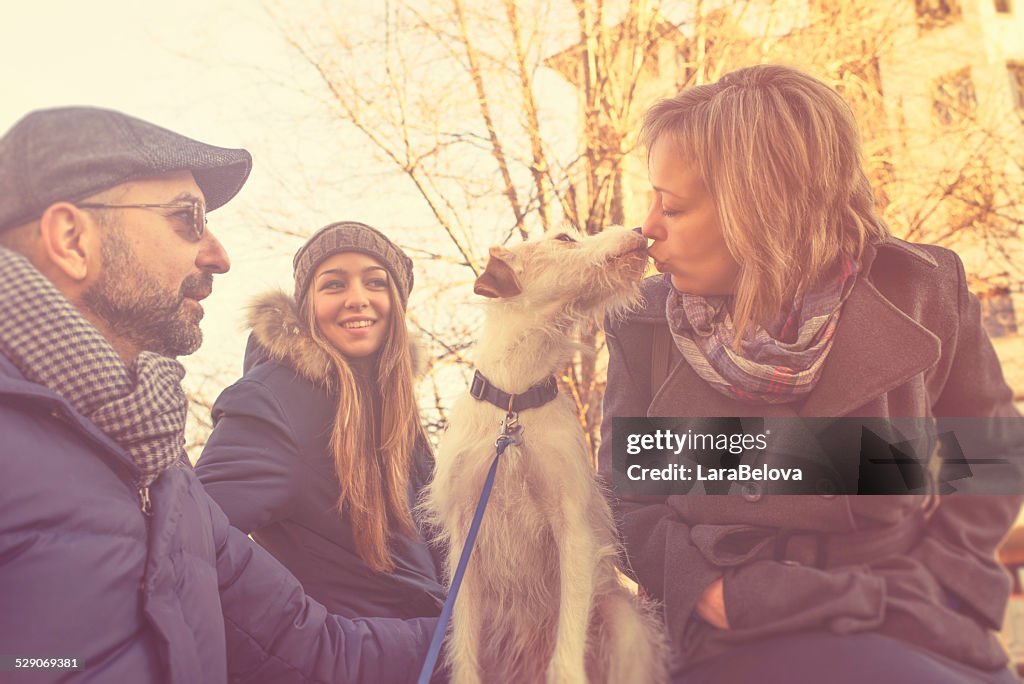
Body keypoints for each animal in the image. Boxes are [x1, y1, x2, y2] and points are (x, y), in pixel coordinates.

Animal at [419, 225, 667, 684]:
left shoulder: (571, 525)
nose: (639, 230)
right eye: (565, 238)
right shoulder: (465, 536)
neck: (514, 401)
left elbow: (567, 650)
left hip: (623, 622)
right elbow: (464, 648)